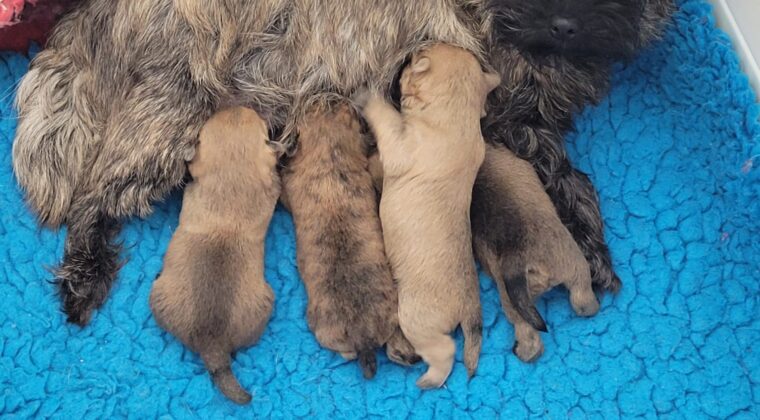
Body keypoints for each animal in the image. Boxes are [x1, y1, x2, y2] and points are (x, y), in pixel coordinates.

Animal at [358, 44, 502, 388]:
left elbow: (387, 120)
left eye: (414, 59)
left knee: (445, 350)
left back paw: (430, 379)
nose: (408, 54)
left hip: (416, 318)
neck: (457, 114)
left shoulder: (402, 146)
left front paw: (369, 98)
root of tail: (469, 303)